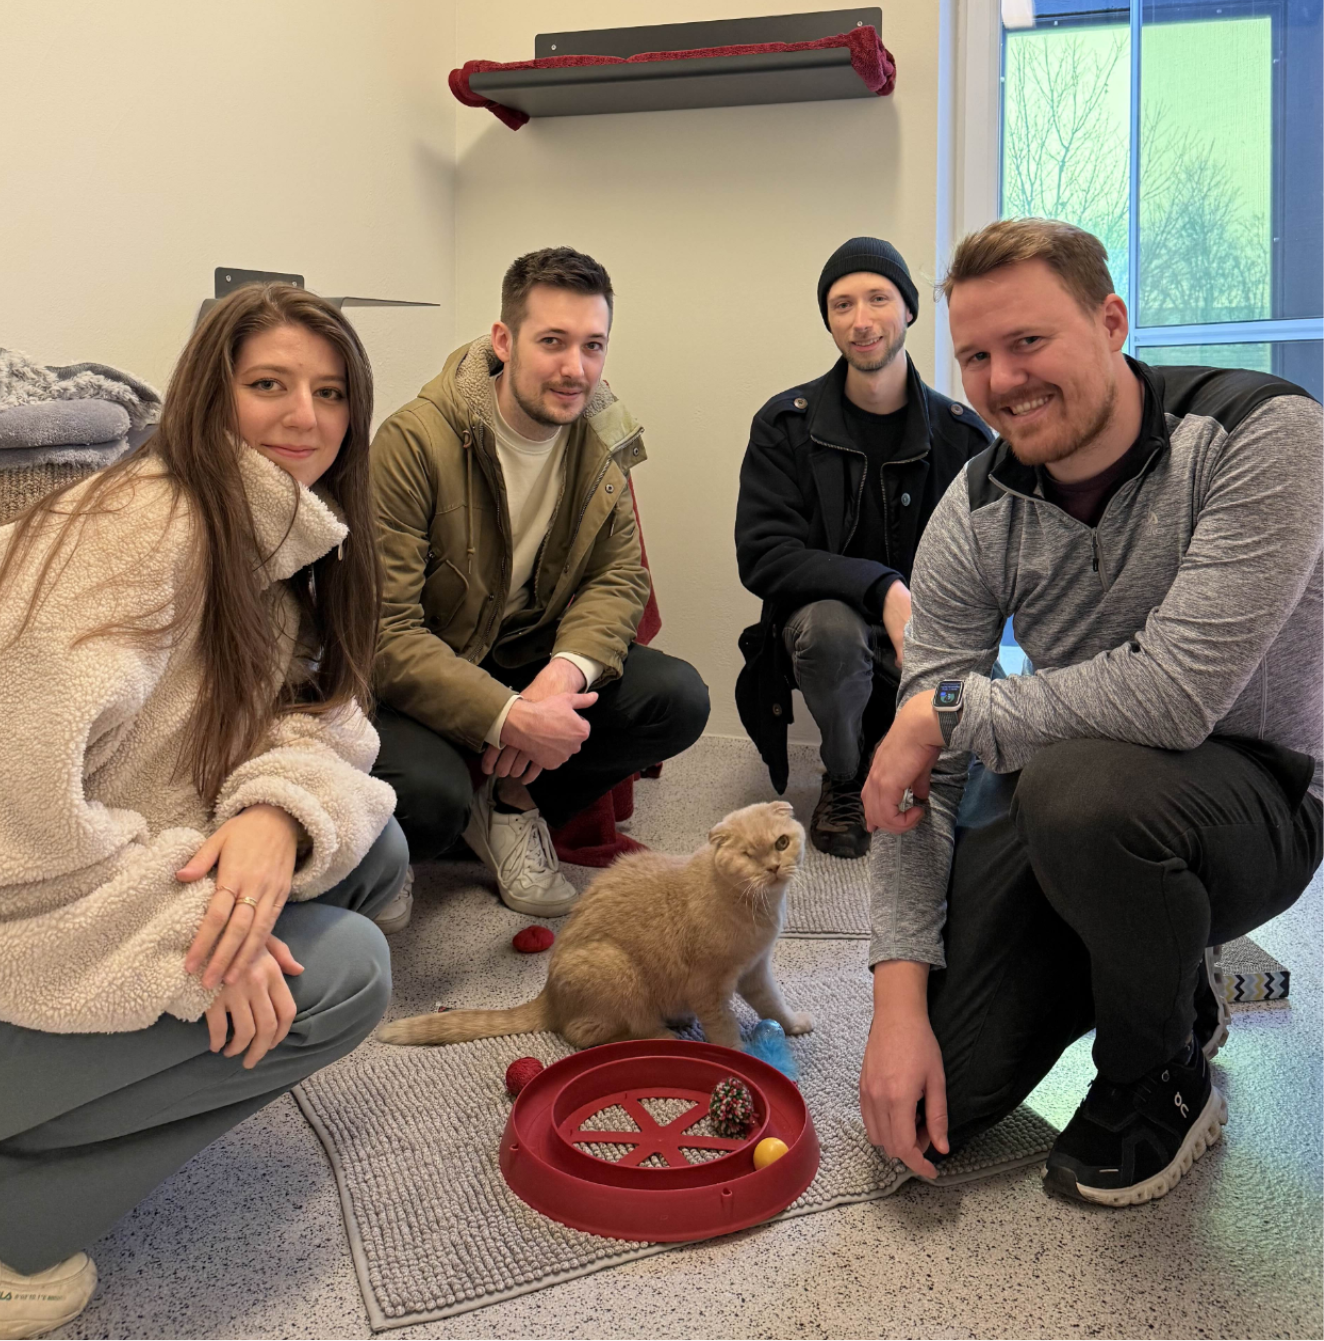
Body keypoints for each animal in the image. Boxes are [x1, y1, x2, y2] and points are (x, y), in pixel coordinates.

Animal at [377, 800, 815, 1050]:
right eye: (748, 855)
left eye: (780, 843)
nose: (773, 868)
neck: (759, 910)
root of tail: (549, 994)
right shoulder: (709, 990)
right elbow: (724, 1032)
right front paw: (739, 1061)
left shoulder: (756, 972)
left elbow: (773, 1004)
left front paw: (793, 1024)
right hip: (617, 971)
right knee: (589, 1033)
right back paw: (661, 1034)